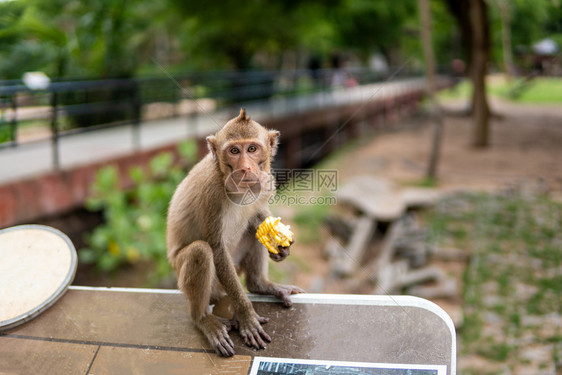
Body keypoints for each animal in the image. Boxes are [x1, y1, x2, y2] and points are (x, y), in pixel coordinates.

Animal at [166, 108, 304, 358]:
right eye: (233, 151)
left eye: (252, 149)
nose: (246, 168)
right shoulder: (210, 192)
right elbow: (216, 249)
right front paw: (246, 316)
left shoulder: (266, 181)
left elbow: (260, 219)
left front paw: (281, 248)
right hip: (197, 280)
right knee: (201, 252)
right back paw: (203, 319)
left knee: (252, 230)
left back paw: (261, 285)